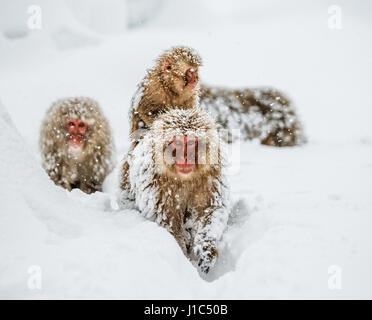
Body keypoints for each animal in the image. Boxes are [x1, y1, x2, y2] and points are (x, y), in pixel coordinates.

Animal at [120, 107, 228, 272]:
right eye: (177, 143)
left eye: (191, 143)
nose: (185, 158)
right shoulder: (154, 181)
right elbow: (168, 221)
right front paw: (181, 259)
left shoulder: (212, 172)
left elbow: (211, 208)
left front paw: (207, 248)